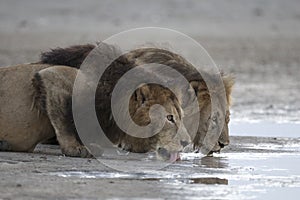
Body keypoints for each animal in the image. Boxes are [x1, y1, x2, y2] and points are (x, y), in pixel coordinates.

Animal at [0, 46, 191, 160]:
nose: (187, 143)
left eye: (181, 117)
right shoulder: (53, 76)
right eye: (169, 118)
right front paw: (76, 148)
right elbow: (64, 119)